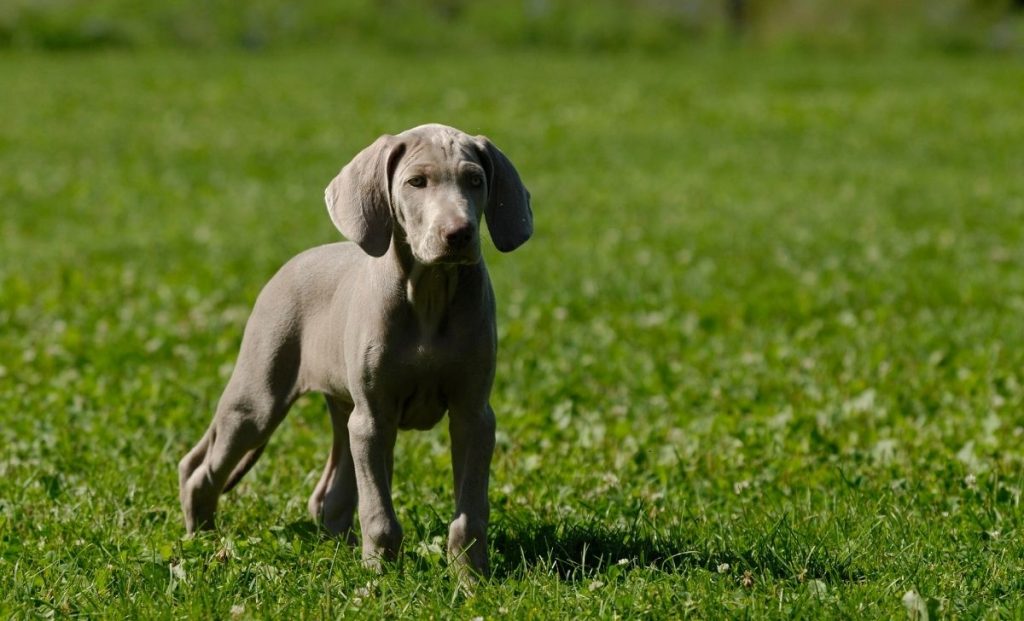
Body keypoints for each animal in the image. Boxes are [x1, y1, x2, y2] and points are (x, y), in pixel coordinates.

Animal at [179, 123, 532, 582]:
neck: (430, 293)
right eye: (416, 182)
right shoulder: (375, 417)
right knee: (201, 470)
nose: (459, 234)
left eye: (475, 180)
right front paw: (381, 576)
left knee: (328, 496)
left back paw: (340, 551)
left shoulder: (473, 415)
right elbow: (379, 513)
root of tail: (289, 265)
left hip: (344, 410)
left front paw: (470, 578)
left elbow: (470, 511)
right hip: (259, 400)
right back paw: (201, 540)